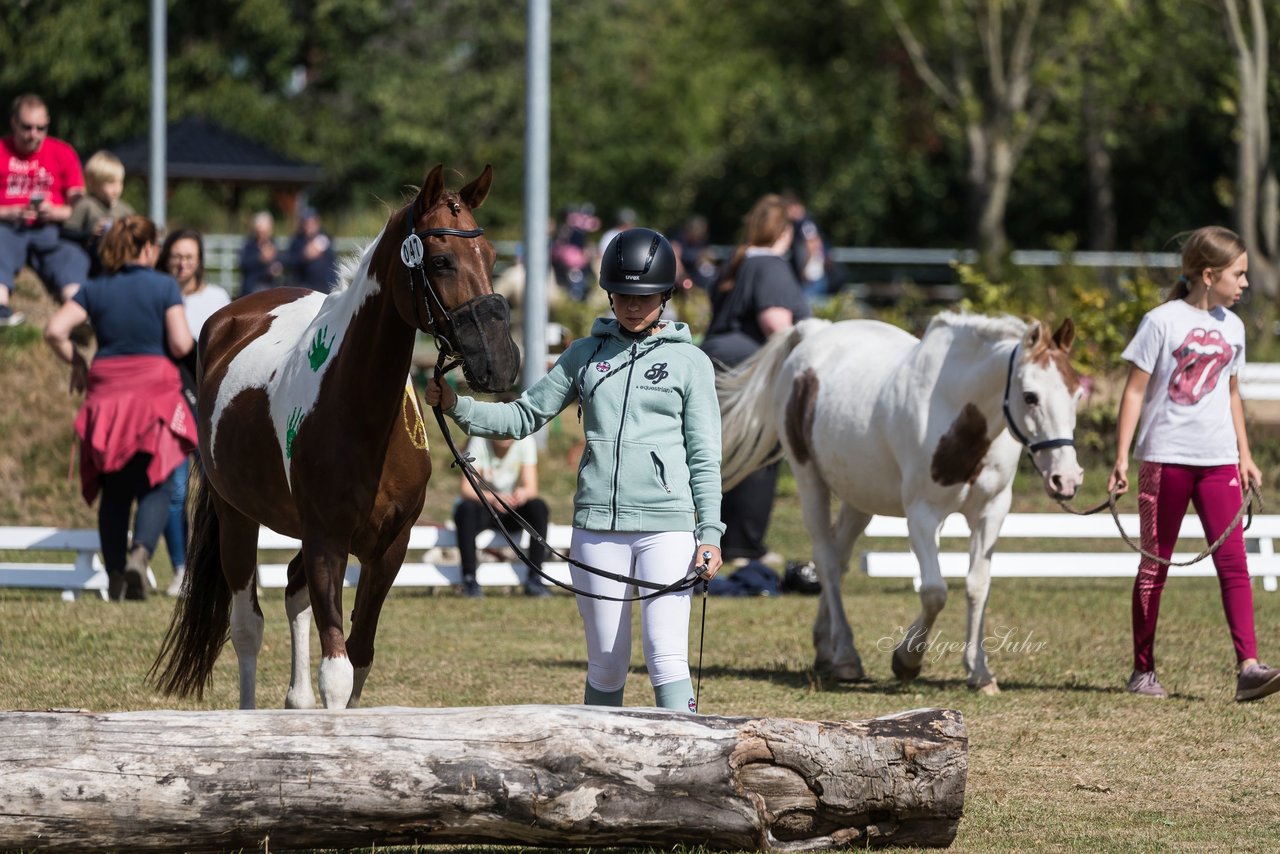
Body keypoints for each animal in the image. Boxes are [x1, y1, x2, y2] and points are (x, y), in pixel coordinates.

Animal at [153, 165, 519, 706]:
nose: (500, 360)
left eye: (492, 256)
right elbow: (336, 670)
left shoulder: (388, 548)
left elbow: (359, 658)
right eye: (440, 260)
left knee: (292, 592)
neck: (359, 411)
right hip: (237, 515)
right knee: (246, 627)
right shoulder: (326, 540)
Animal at [721, 313, 1080, 696]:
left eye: (1077, 393)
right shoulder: (922, 515)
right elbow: (934, 592)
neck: (960, 413)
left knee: (840, 557)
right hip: (809, 481)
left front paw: (979, 672)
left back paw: (826, 649)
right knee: (827, 562)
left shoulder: (991, 512)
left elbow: (976, 586)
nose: (1066, 479)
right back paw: (846, 658)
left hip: (859, 497)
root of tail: (816, 332)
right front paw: (906, 660)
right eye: (1030, 396)